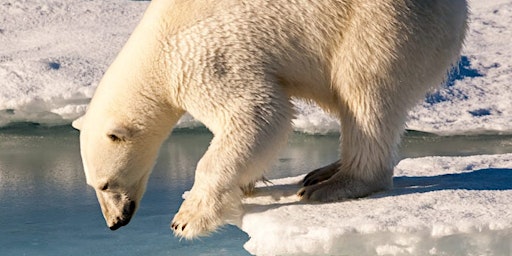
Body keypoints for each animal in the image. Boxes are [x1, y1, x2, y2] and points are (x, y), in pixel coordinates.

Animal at [72, 0, 468, 238]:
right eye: (93, 185)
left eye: (105, 184)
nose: (115, 223)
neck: (156, 47)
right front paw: (247, 182)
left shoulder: (207, 53)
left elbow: (258, 112)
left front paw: (186, 219)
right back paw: (322, 172)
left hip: (380, 25)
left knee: (363, 89)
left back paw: (334, 185)